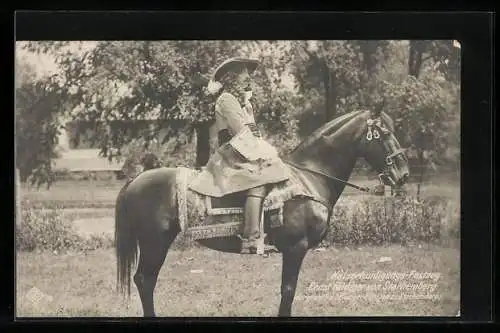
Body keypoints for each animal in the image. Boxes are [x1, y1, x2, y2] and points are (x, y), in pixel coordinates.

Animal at [116, 108, 410, 316]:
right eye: (384, 134)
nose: (403, 174)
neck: (308, 178)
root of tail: (135, 180)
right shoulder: (295, 248)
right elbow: (288, 292)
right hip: (155, 243)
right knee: (145, 280)